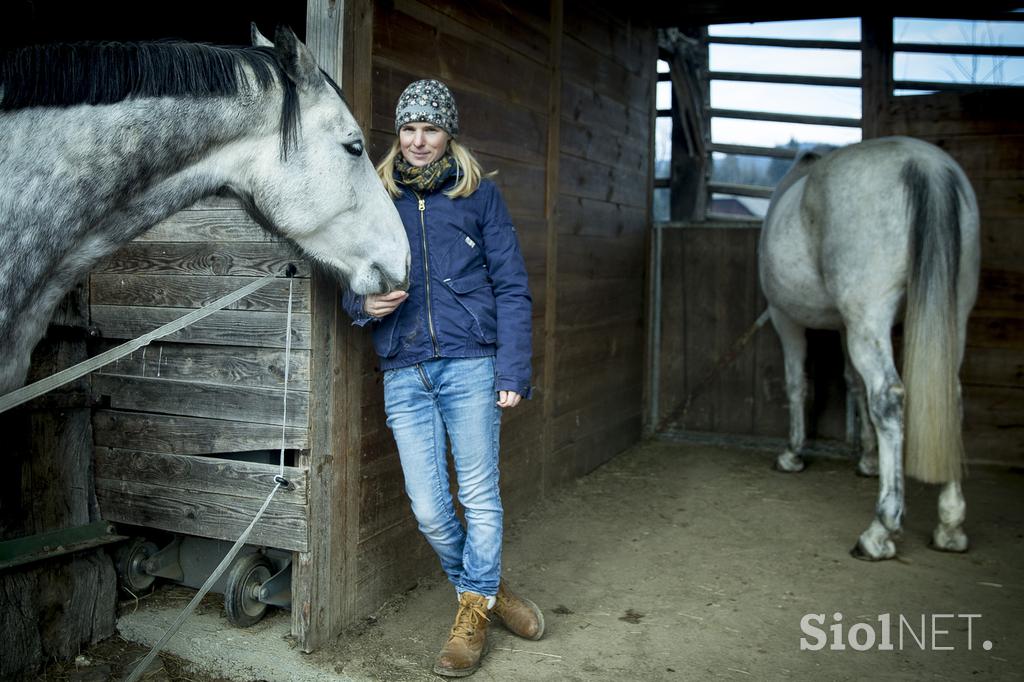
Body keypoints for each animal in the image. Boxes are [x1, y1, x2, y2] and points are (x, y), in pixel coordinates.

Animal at [765, 137, 978, 557]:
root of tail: (925, 164)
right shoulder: (844, 326)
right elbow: (854, 385)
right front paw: (867, 459)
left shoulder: (785, 319)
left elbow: (797, 383)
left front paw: (792, 453)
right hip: (952, 314)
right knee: (949, 398)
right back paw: (949, 527)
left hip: (869, 316)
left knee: (888, 398)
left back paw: (879, 530)